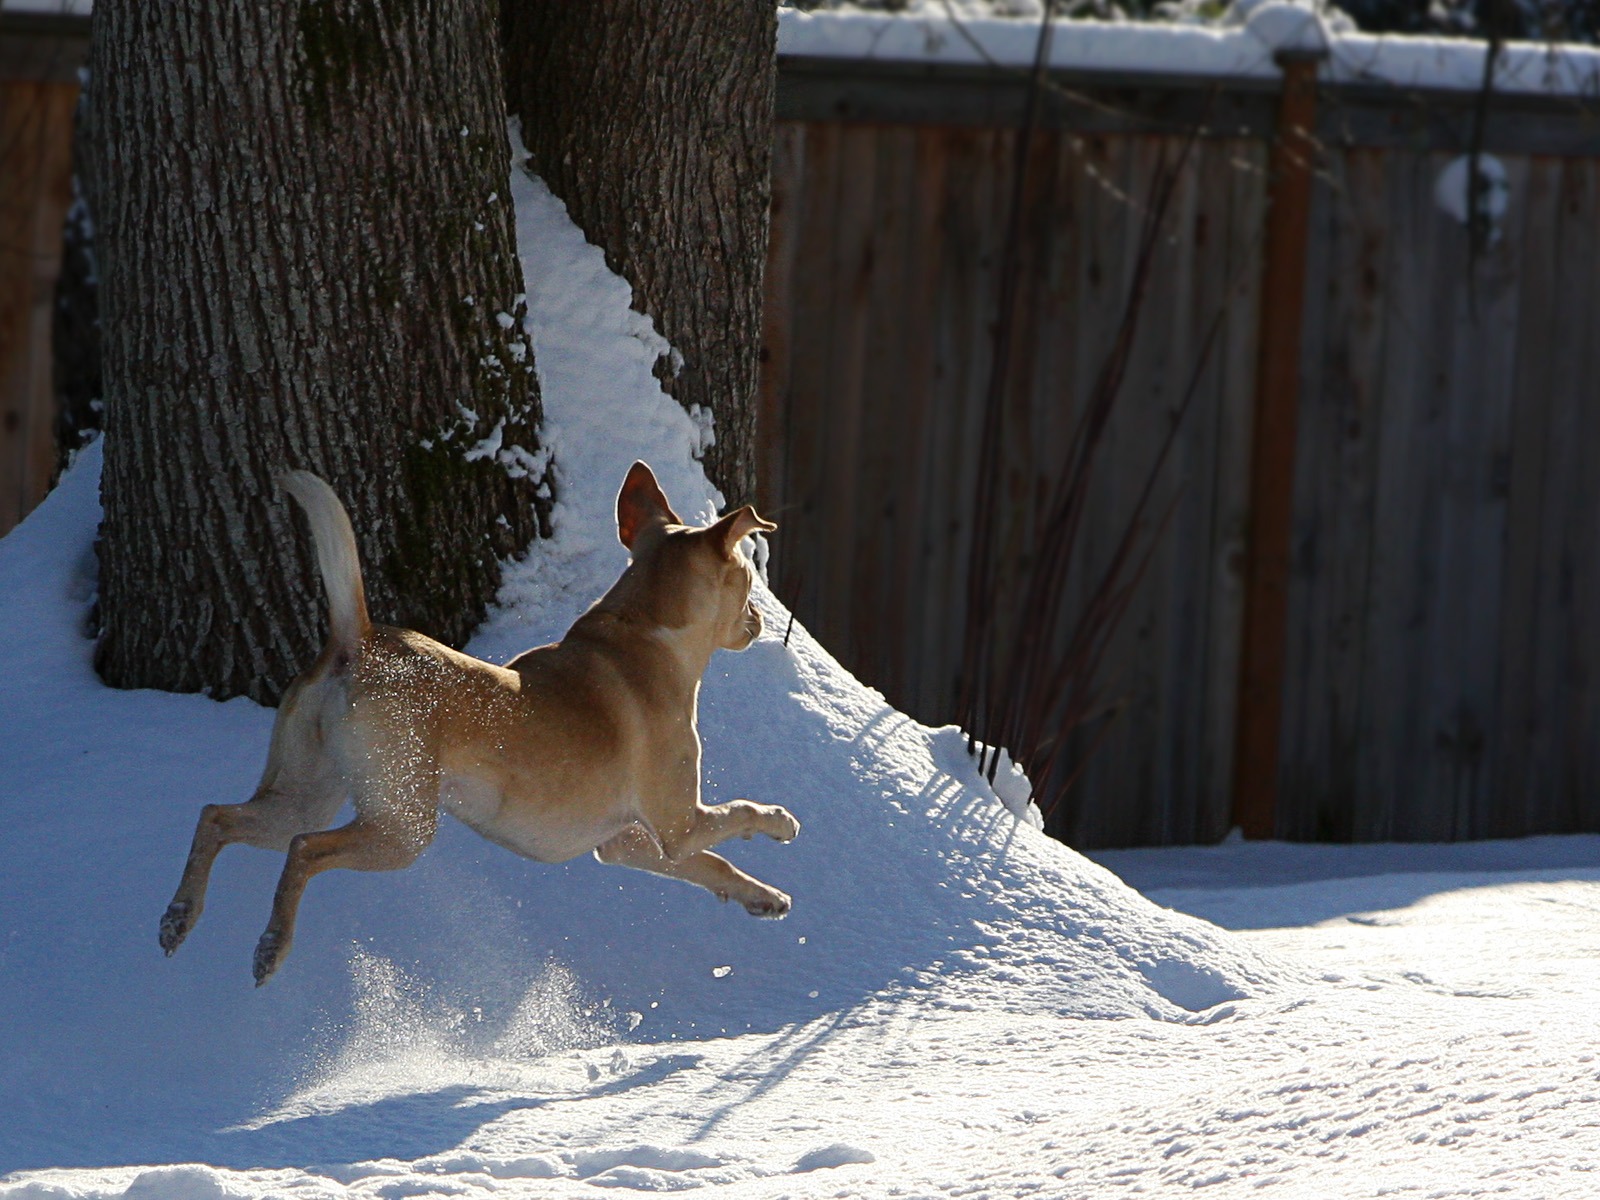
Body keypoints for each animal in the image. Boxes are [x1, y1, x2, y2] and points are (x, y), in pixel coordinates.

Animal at [159, 464, 796, 985]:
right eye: (747, 576)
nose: (759, 620)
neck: (646, 629)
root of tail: (357, 641)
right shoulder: (678, 825)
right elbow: (737, 816)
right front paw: (781, 822)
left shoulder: (628, 843)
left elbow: (710, 864)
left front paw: (762, 897)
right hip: (402, 828)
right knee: (304, 850)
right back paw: (272, 945)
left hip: (303, 792)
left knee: (217, 817)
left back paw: (179, 916)